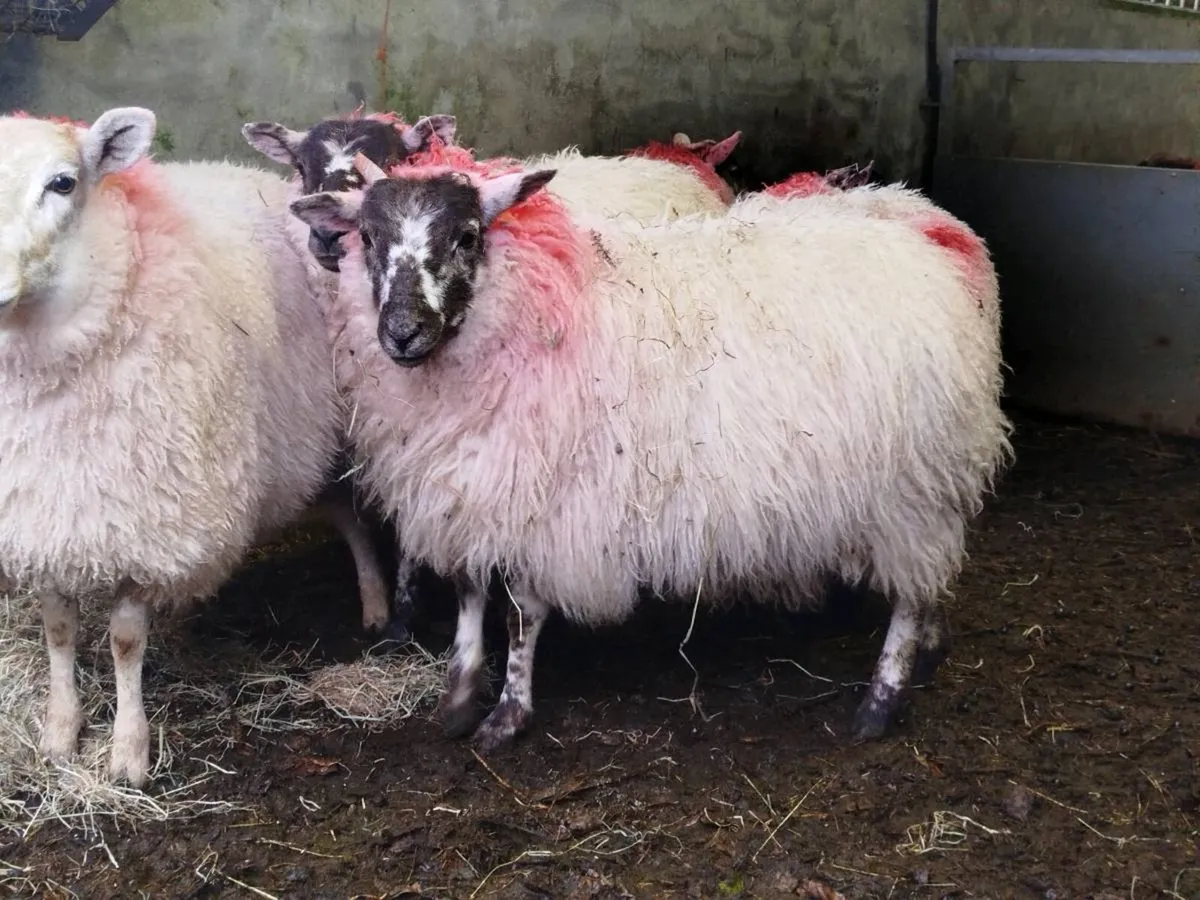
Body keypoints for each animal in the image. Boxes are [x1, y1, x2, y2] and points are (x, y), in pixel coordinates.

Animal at [0, 107, 391, 787]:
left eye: (63, 183)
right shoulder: (44, 517)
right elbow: (58, 630)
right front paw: (60, 733)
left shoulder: (153, 520)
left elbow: (125, 639)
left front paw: (129, 752)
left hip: (344, 436)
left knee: (356, 519)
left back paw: (374, 605)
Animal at [287, 143, 1011, 752]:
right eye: (369, 237)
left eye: (466, 236)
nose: (402, 332)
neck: (540, 305)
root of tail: (935, 230)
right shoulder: (476, 483)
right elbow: (469, 590)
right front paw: (461, 693)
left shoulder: (549, 502)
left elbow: (521, 613)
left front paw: (507, 713)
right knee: (930, 580)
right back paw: (931, 646)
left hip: (914, 483)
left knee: (912, 594)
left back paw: (881, 701)